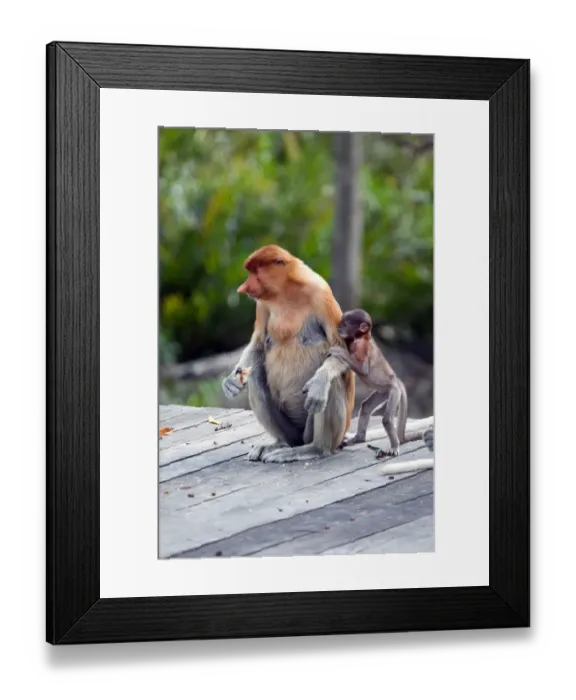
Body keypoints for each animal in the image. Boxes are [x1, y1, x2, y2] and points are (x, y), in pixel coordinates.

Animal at [221, 244, 355, 463]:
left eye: (255, 272)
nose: (243, 288)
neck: (286, 291)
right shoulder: (262, 304)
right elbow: (259, 344)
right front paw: (231, 382)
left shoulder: (321, 293)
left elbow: (341, 348)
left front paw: (319, 385)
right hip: (292, 430)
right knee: (255, 374)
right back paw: (280, 444)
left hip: (329, 431)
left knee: (331, 381)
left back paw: (315, 448)